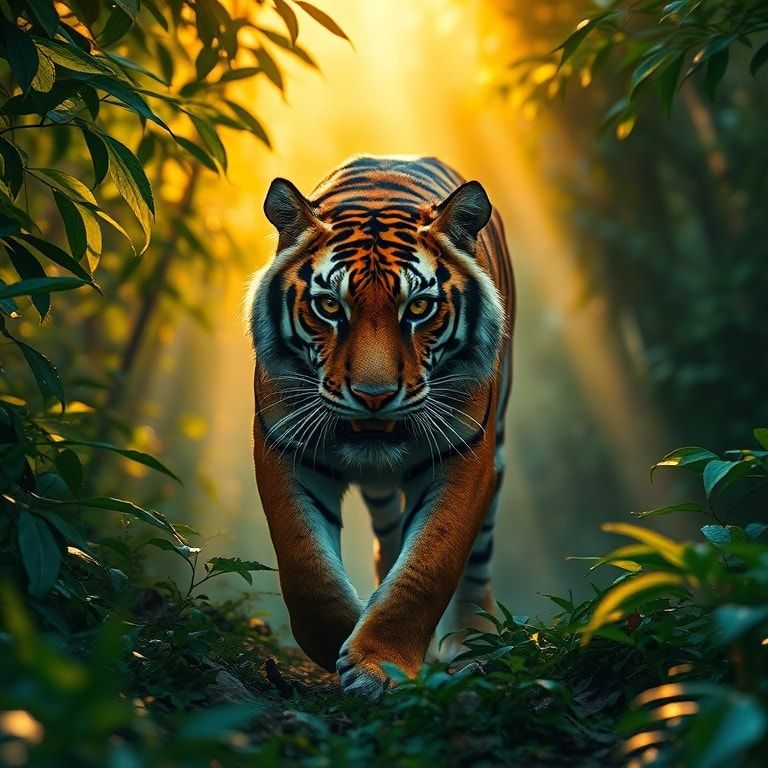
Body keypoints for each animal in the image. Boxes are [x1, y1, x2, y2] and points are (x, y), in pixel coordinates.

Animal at [246, 155, 515, 699]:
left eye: (419, 308)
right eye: (330, 306)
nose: (374, 396)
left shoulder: (464, 454)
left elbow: (428, 565)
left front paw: (378, 666)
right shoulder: (283, 445)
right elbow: (306, 565)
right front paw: (340, 637)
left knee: (477, 559)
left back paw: (472, 640)